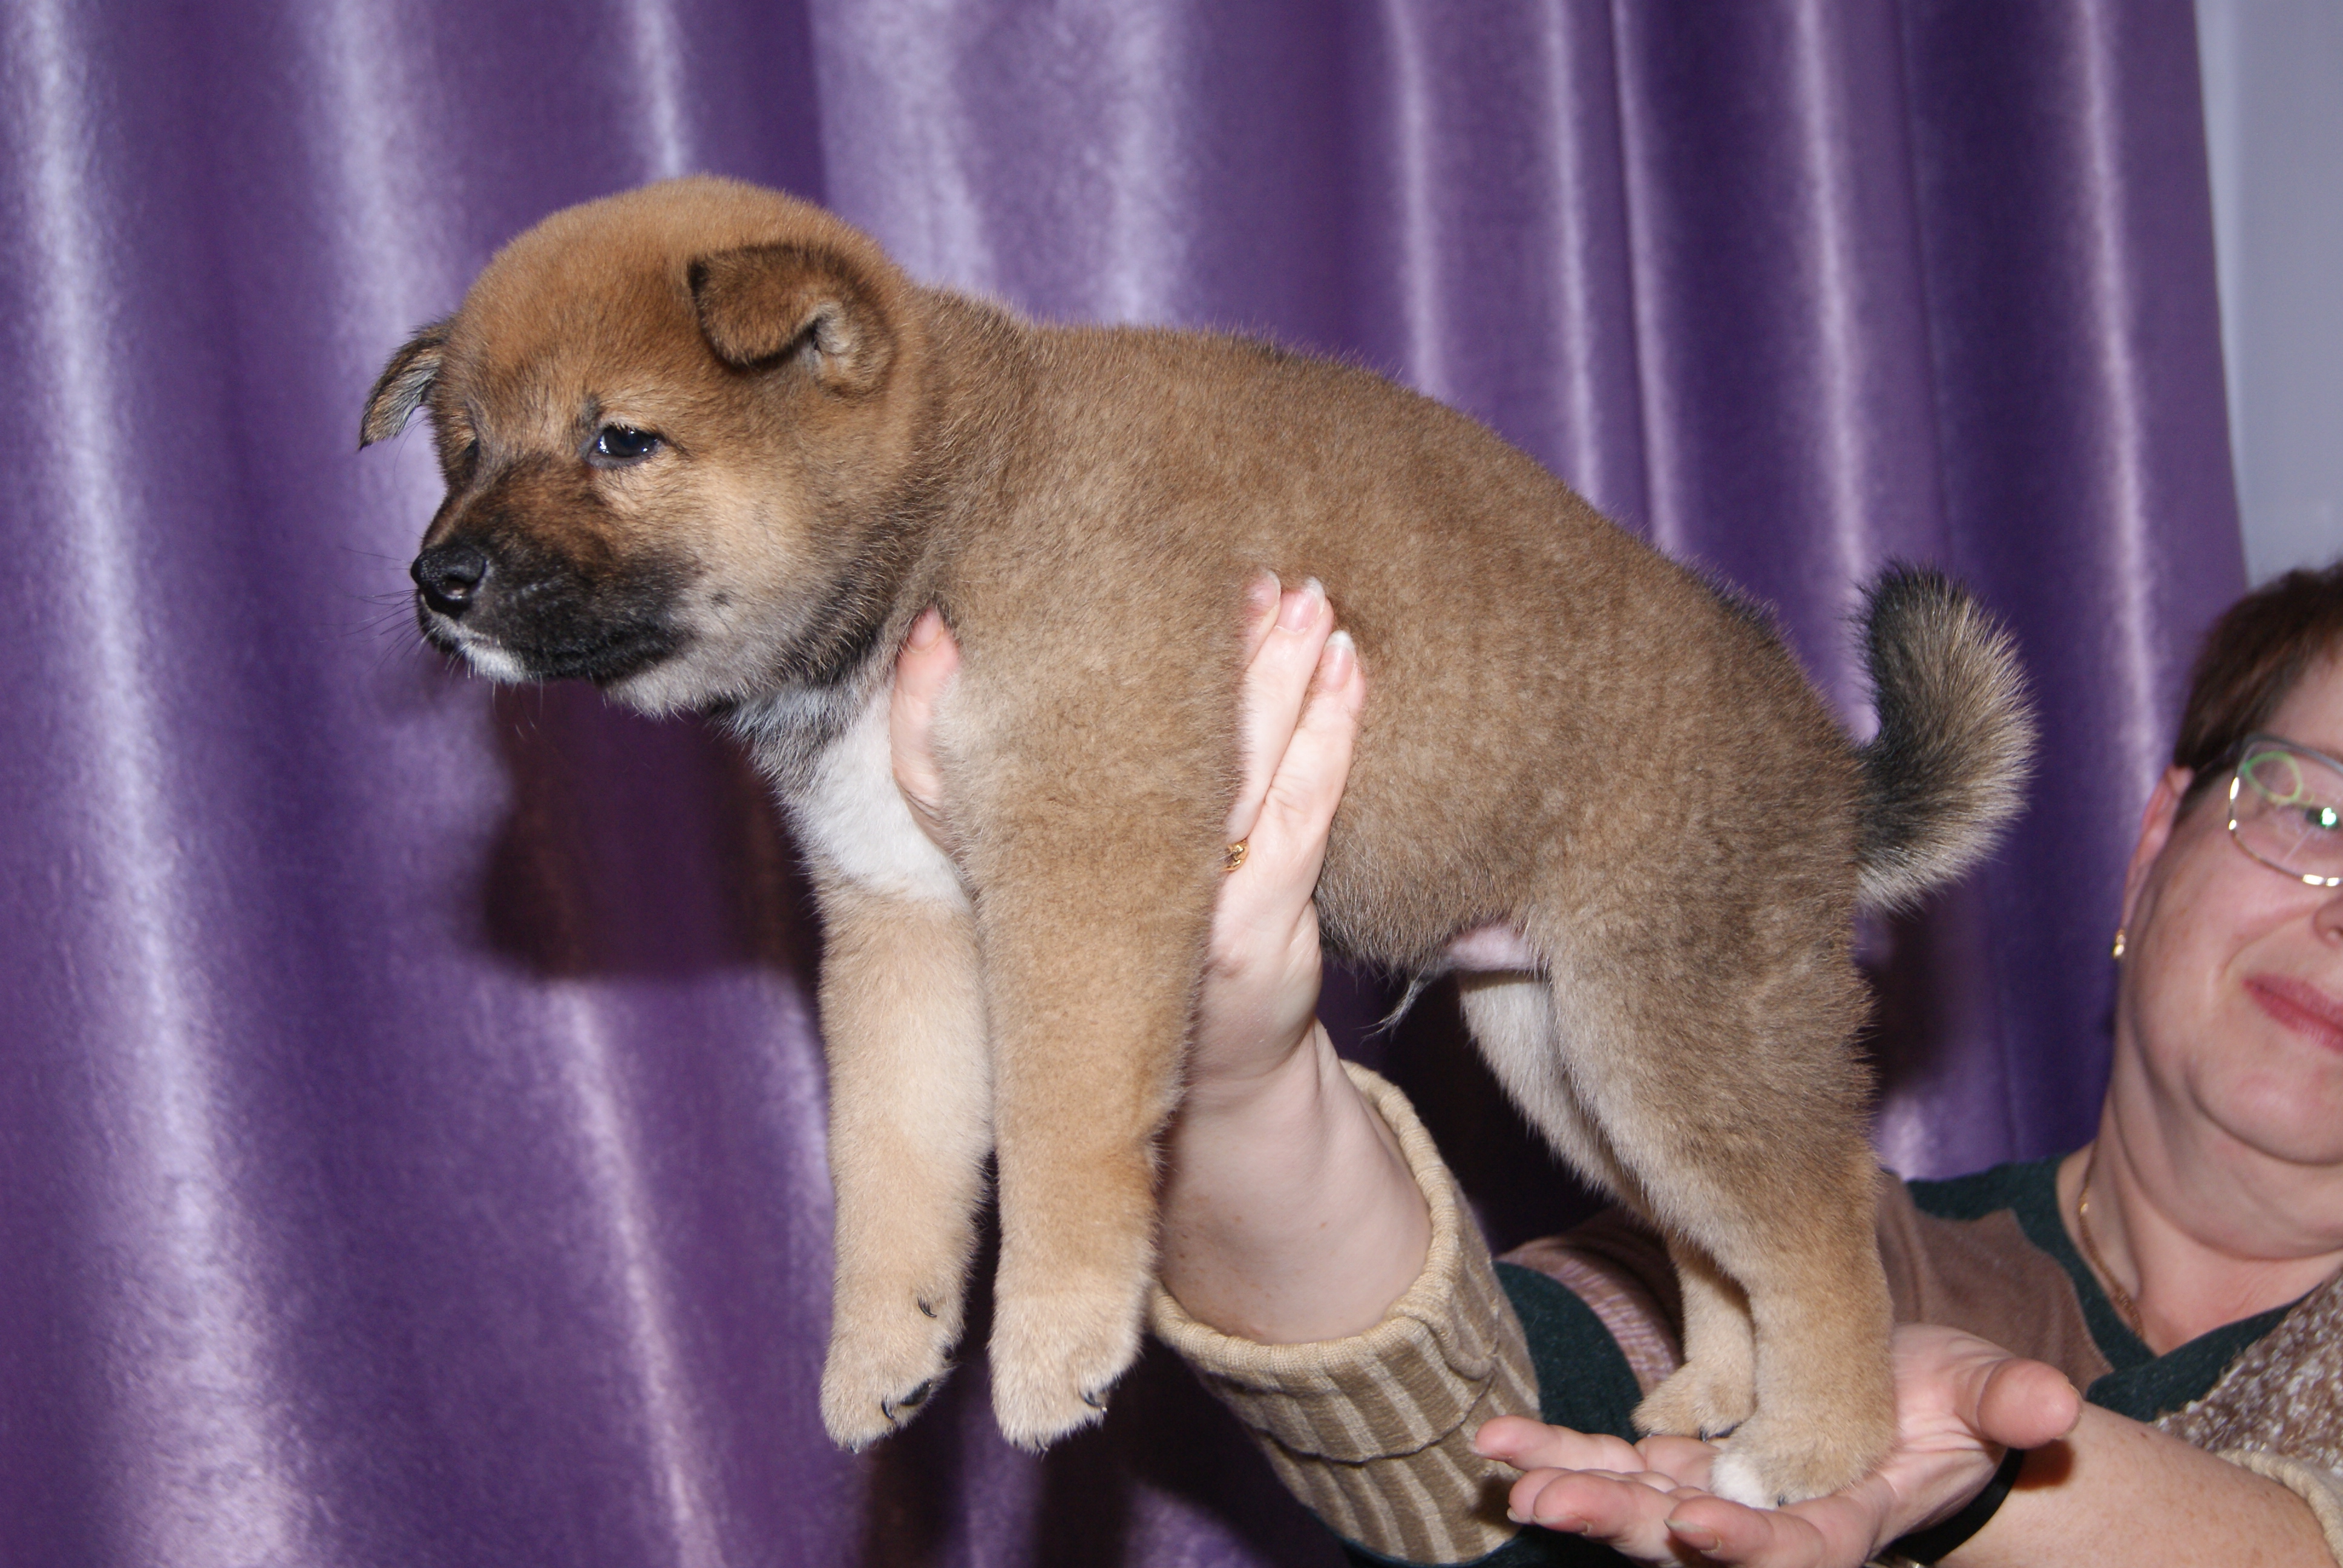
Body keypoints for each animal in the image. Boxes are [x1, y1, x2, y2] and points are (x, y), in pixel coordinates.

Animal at [361, 176, 2032, 1506]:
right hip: (1566, 1051)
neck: (950, 506)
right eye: (463, 447)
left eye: (620, 439)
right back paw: (1717, 1394)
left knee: (1817, 1225)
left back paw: (1814, 1450)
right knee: (1713, 1239)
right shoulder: (902, 917)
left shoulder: (1083, 874)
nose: (440, 578)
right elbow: (890, 1160)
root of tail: (1832, 776)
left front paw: (1052, 1344)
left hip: (1671, 1030)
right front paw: (880, 1349)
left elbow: (1057, 1139)